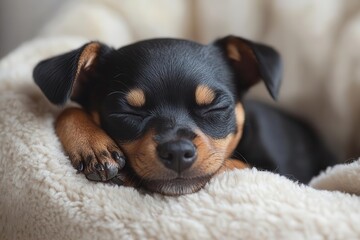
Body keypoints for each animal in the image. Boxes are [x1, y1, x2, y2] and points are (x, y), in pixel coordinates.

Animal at [32, 36, 336, 197]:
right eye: (126, 112)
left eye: (215, 108)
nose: (177, 151)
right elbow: (68, 109)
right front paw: (93, 145)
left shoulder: (284, 176)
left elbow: (232, 165)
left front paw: (126, 173)